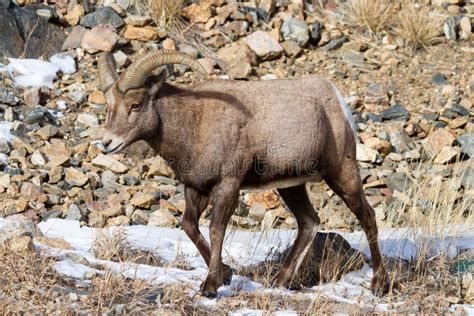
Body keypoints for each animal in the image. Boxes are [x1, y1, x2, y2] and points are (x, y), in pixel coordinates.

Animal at [98, 50, 390, 298]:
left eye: (136, 104)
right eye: (109, 105)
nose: (107, 143)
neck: (195, 124)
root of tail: (337, 100)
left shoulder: (228, 185)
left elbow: (216, 229)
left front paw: (210, 286)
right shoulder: (195, 189)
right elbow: (190, 226)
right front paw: (226, 275)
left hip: (341, 173)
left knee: (367, 216)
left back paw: (379, 285)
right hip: (291, 186)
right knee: (309, 222)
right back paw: (279, 282)